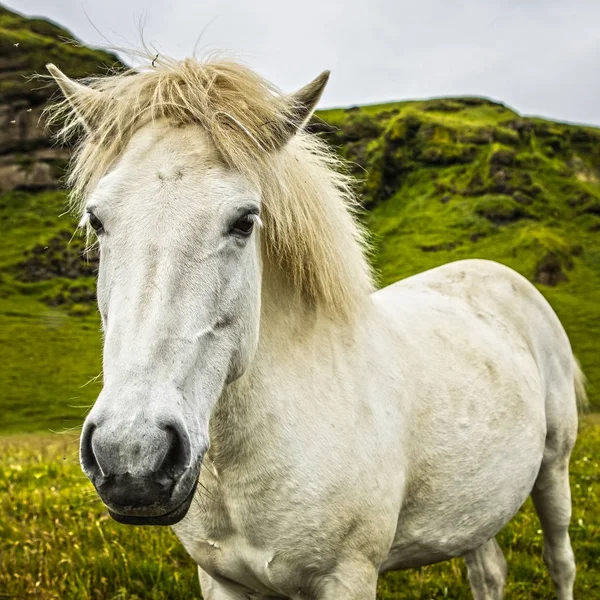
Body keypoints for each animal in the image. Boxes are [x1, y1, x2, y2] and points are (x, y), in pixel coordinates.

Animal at [48, 55, 584, 596]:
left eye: (245, 221)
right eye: (97, 220)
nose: (133, 456)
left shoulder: (347, 577)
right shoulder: (219, 579)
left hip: (554, 468)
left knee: (560, 560)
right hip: (474, 509)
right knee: (488, 571)